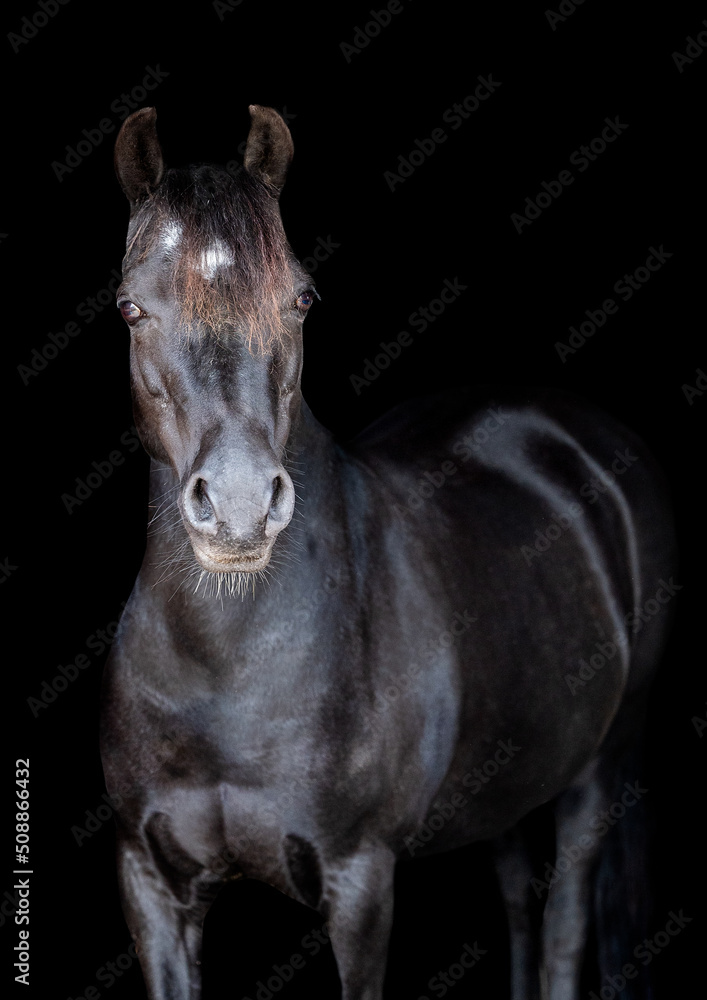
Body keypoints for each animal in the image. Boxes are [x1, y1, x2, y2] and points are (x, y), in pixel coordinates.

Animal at [102, 105, 676, 996]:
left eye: (302, 297)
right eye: (130, 307)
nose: (238, 507)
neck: (224, 672)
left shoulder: (360, 882)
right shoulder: (150, 883)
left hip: (596, 769)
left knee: (562, 926)